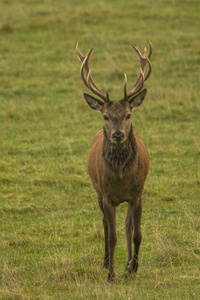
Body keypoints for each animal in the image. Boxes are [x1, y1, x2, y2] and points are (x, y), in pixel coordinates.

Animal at [76, 39, 152, 282]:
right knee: (105, 225)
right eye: (105, 116)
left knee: (127, 226)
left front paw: (134, 266)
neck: (120, 179)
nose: (118, 134)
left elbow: (136, 233)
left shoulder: (137, 194)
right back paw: (106, 262)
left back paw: (127, 264)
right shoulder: (108, 196)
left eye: (128, 115)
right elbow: (111, 236)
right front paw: (111, 275)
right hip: (98, 192)